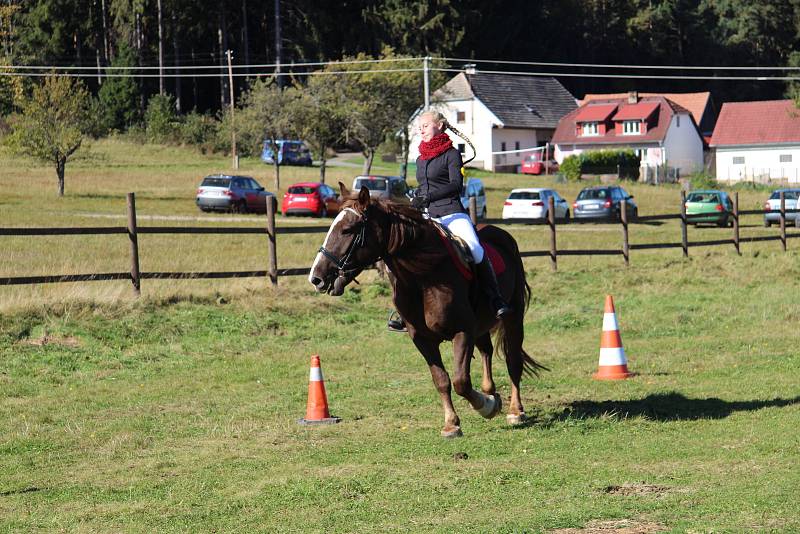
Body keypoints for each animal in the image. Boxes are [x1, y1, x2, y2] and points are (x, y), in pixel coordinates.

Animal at [310, 185, 548, 440]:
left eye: (347, 230)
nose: (316, 277)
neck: (424, 278)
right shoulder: (422, 338)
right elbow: (441, 380)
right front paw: (452, 423)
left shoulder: (462, 332)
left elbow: (461, 381)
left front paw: (486, 407)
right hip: (481, 324)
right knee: (487, 350)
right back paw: (490, 392)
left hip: (513, 317)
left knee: (513, 360)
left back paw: (515, 411)